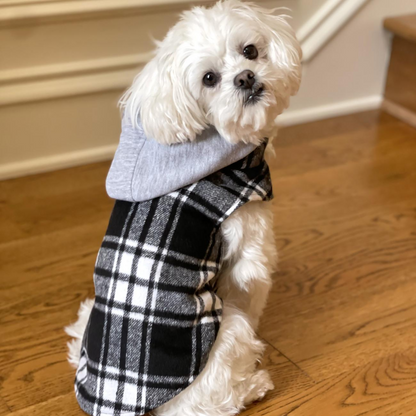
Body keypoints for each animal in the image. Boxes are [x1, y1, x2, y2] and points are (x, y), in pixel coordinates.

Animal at [66, 1, 300, 414]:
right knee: (216, 400)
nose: (245, 78)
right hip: (229, 332)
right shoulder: (249, 251)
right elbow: (252, 290)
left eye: (250, 50)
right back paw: (254, 384)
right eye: (209, 78)